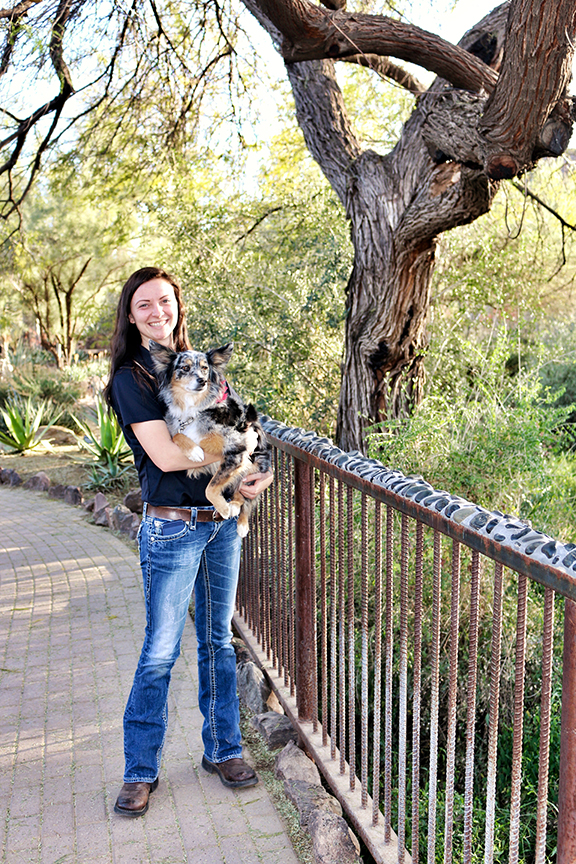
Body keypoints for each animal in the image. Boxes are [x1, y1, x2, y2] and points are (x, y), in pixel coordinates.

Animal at [151, 340, 272, 536]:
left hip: (255, 468)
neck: (195, 408)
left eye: (204, 368)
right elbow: (178, 434)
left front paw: (223, 508)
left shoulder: (237, 451)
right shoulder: (176, 427)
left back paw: (241, 521)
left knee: (245, 499)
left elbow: (211, 488)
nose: (202, 381)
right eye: (185, 367)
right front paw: (194, 452)